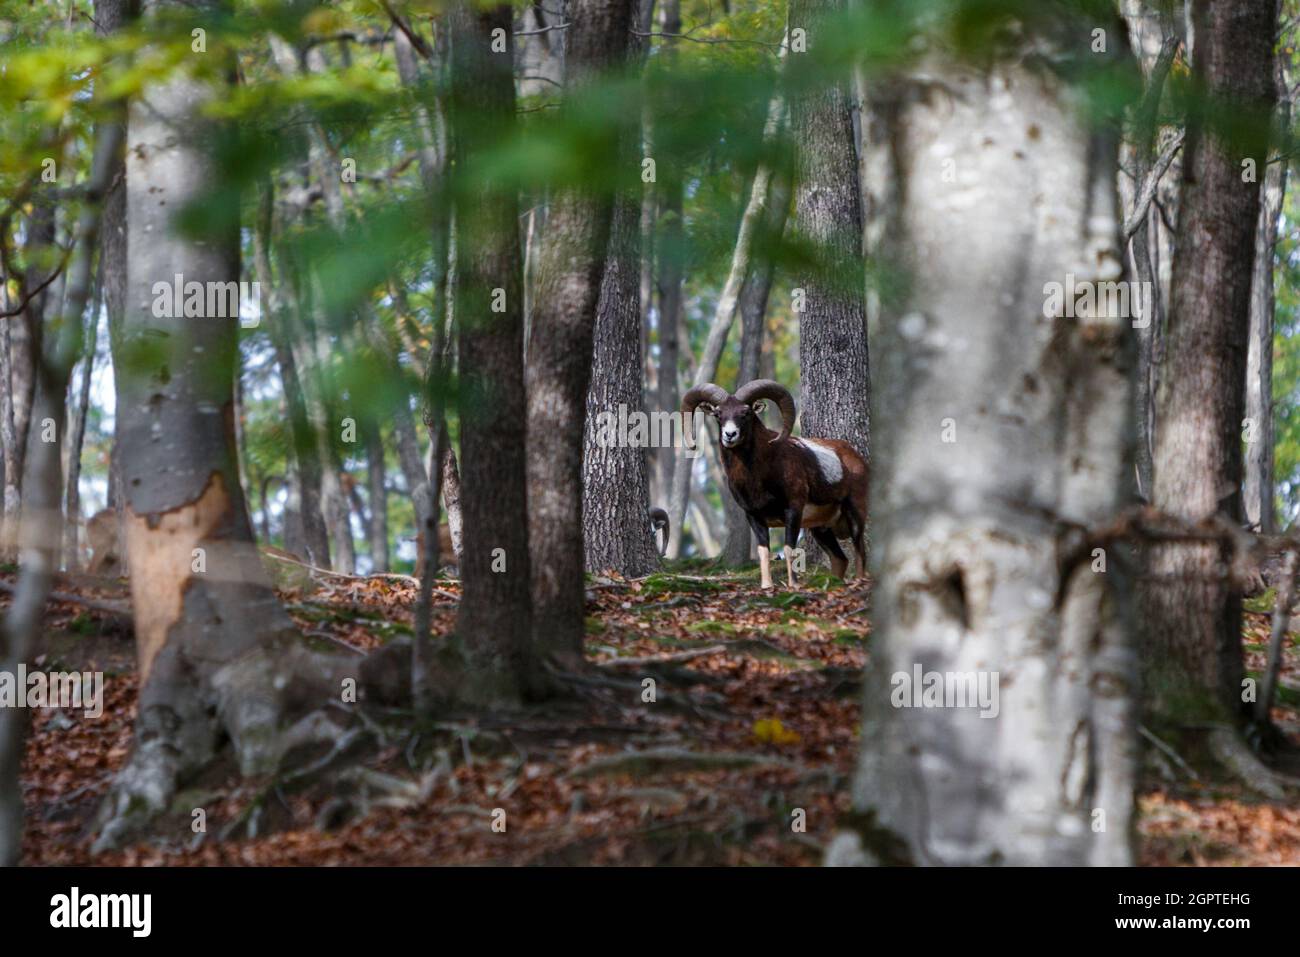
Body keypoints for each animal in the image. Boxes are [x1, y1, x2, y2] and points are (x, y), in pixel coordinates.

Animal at [681, 379, 867, 590]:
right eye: (718, 414)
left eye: (746, 413)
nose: (730, 435)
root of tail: (856, 459)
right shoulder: (754, 516)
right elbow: (764, 551)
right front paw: (766, 586)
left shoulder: (793, 511)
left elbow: (788, 549)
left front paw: (793, 585)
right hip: (821, 529)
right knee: (840, 560)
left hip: (854, 514)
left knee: (860, 551)